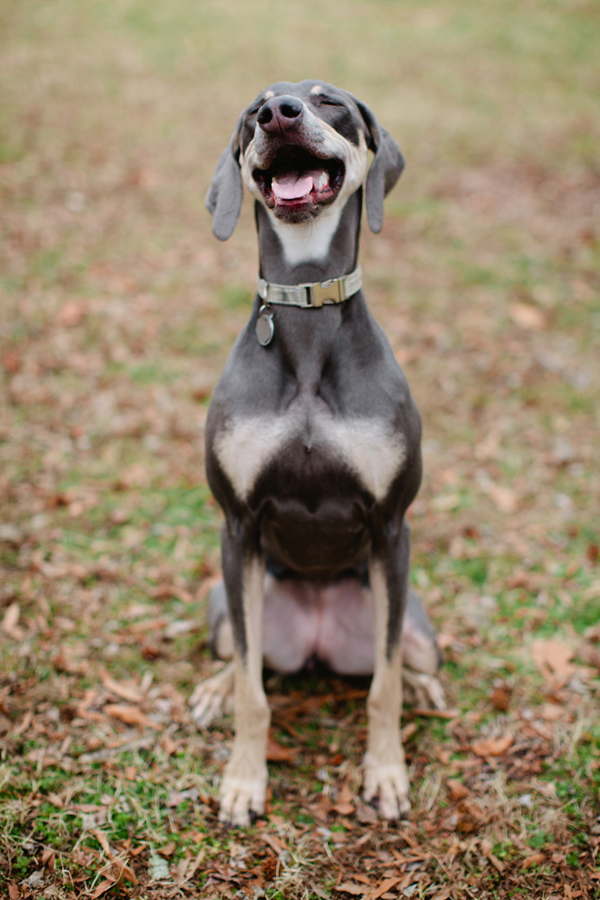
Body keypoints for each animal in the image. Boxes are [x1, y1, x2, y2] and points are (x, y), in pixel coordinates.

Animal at [192, 81, 446, 828]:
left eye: (328, 101)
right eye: (253, 111)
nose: (278, 114)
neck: (306, 311)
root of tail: (316, 642)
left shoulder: (390, 528)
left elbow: (383, 686)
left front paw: (386, 774)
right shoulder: (238, 528)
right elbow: (253, 692)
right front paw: (244, 781)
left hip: (418, 620)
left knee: (409, 660)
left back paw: (425, 690)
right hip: (225, 604)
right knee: (241, 657)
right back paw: (214, 688)